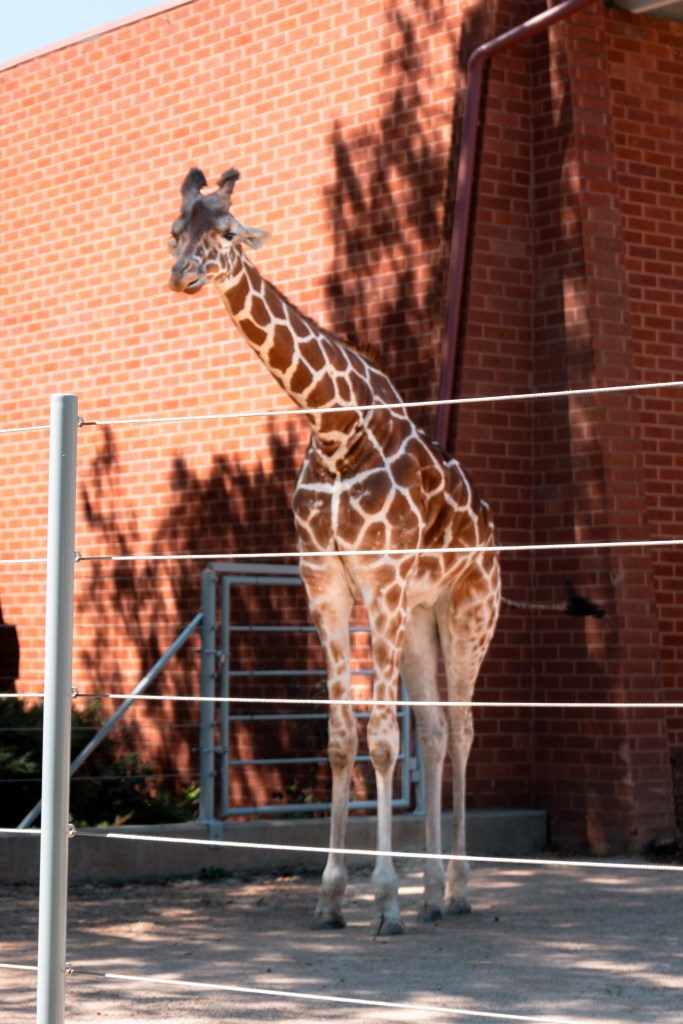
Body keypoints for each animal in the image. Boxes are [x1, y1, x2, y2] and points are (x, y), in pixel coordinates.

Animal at [169, 167, 501, 937]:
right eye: (175, 231)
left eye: (226, 232)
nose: (183, 275)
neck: (334, 427)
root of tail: (492, 528)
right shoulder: (326, 584)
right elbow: (341, 738)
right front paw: (330, 895)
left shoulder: (379, 582)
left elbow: (380, 740)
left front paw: (384, 899)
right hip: (420, 616)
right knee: (435, 732)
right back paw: (434, 893)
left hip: (469, 610)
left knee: (464, 727)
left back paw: (458, 888)